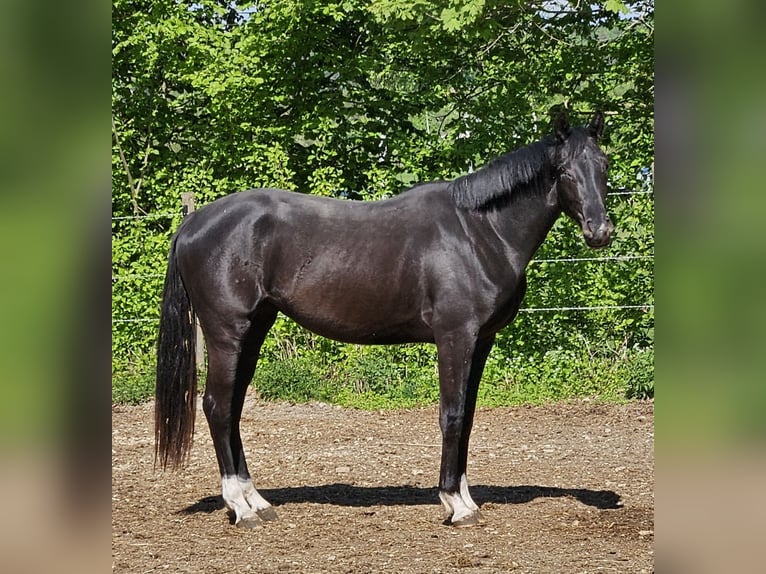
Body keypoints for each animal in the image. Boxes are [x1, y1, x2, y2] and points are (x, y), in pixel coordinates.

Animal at [155, 111, 613, 528]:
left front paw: (466, 498)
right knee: (217, 406)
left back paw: (257, 501)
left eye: (604, 166)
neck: (478, 231)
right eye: (565, 172)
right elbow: (452, 414)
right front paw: (455, 505)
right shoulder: (455, 337)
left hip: (254, 329)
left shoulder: (481, 342)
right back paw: (241, 508)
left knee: (232, 408)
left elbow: (467, 418)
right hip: (227, 333)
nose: (600, 232)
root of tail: (193, 223)